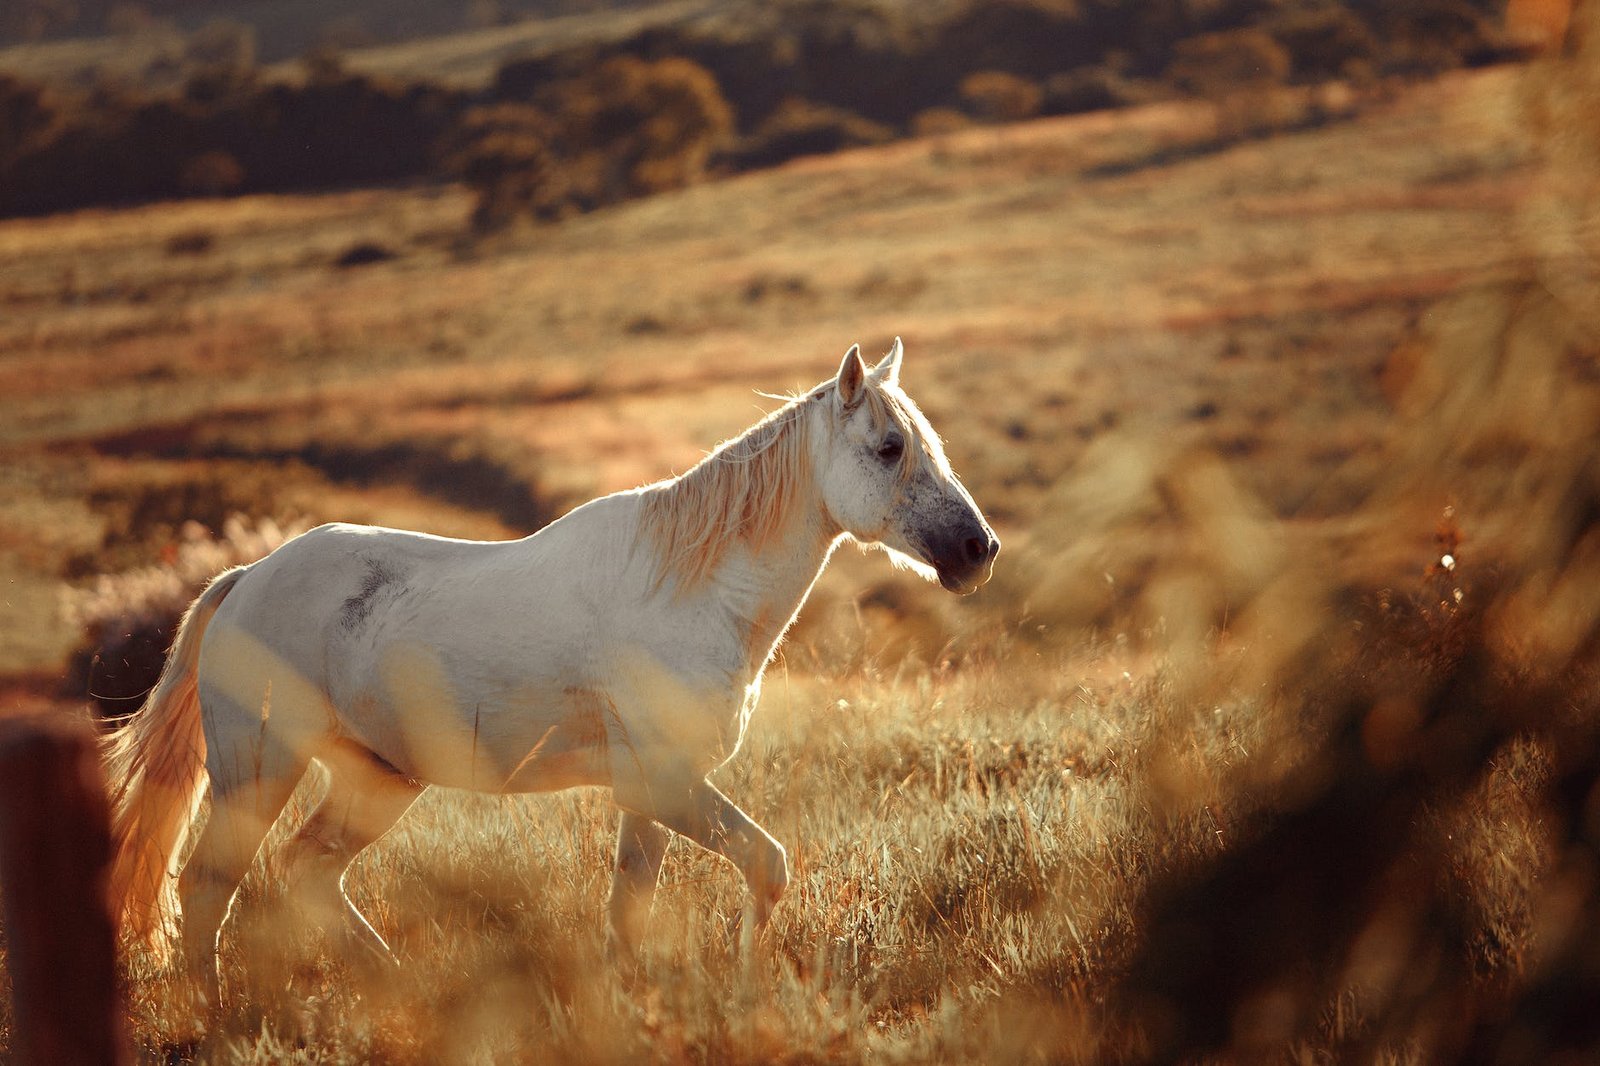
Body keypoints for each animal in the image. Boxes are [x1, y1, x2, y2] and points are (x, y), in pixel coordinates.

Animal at [101, 339, 999, 1000]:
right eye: (889, 448)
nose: (977, 551)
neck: (691, 590)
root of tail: (246, 580)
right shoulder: (666, 783)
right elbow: (767, 866)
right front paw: (748, 985)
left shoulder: (649, 796)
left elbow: (629, 912)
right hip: (258, 769)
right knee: (209, 889)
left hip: (376, 781)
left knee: (306, 875)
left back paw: (401, 988)